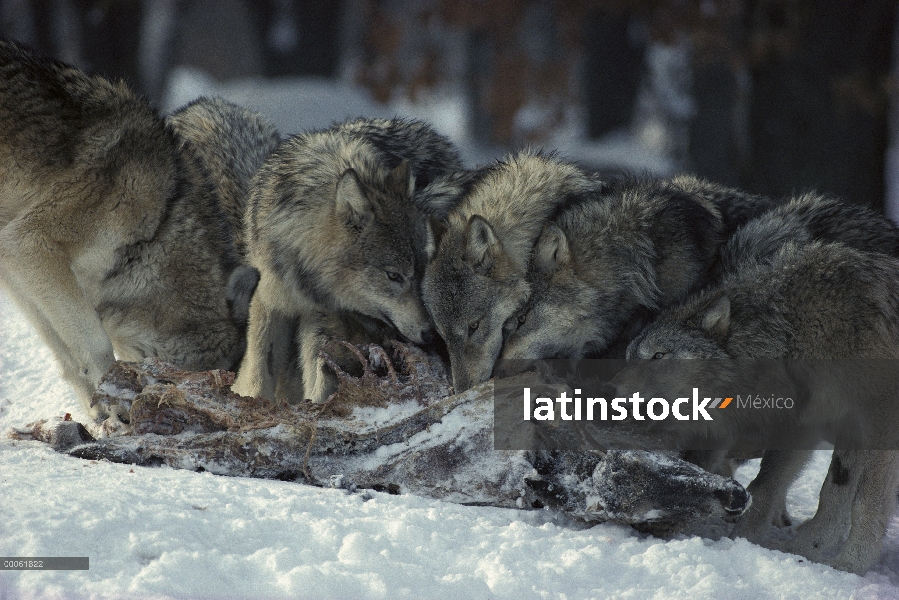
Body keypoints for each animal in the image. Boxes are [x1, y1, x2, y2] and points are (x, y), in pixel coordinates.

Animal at [0, 39, 266, 420]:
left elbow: (69, 359)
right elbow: (96, 346)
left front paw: (99, 420)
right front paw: (114, 408)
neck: (159, 223)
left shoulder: (17, 270)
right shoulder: (30, 244)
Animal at [236, 117, 464, 404]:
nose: (431, 334)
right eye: (394, 276)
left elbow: (322, 368)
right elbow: (260, 363)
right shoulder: (270, 298)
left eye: (422, 273)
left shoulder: (327, 316)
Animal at [624, 241, 899, 576]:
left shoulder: (876, 418)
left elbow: (862, 501)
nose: (613, 391)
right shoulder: (826, 425)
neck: (792, 334)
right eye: (629, 357)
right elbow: (829, 492)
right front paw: (807, 550)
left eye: (658, 356)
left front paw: (850, 565)